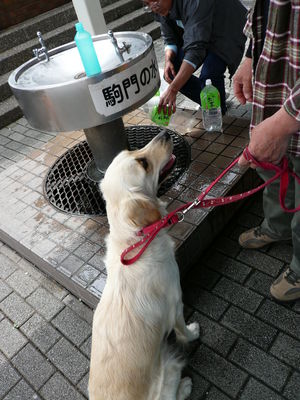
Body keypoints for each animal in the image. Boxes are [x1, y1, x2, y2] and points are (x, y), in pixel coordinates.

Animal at [89, 130, 199, 398]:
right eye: (143, 163)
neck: (135, 239)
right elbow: (182, 329)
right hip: (169, 366)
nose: (165, 133)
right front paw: (193, 333)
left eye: (131, 151)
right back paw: (186, 385)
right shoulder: (175, 302)